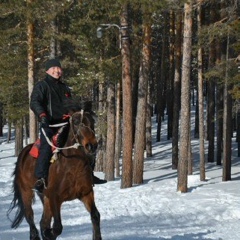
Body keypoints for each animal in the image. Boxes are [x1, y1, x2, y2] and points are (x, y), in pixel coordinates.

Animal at [7, 110, 101, 240]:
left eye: (92, 121)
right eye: (76, 122)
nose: (92, 145)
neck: (72, 167)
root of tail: (23, 154)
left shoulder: (86, 193)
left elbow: (95, 216)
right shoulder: (54, 197)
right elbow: (56, 227)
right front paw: (48, 233)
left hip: (44, 197)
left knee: (43, 221)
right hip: (26, 193)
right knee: (30, 218)